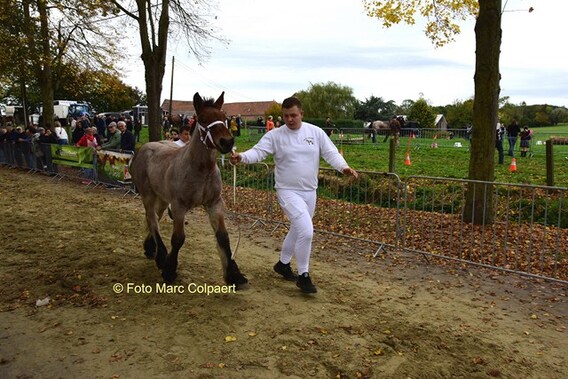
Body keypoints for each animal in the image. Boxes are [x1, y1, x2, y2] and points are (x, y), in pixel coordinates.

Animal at [132, 93, 250, 288]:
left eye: (224, 118)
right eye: (203, 119)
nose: (227, 142)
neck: (201, 170)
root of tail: (144, 148)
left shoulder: (214, 203)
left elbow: (223, 237)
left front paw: (234, 275)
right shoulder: (179, 206)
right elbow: (178, 238)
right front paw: (169, 270)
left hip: (162, 198)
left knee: (155, 217)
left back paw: (151, 249)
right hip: (148, 195)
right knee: (152, 219)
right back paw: (161, 256)